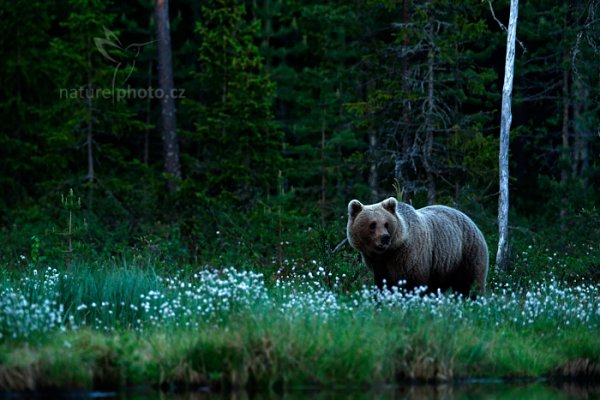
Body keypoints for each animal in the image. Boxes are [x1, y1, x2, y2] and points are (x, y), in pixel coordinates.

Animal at [346, 198, 488, 296]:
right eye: (372, 224)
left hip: (467, 253)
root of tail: (471, 221)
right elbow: (382, 283)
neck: (389, 252)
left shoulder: (411, 256)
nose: (385, 237)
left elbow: (415, 282)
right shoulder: (378, 264)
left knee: (471, 282)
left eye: (386, 224)